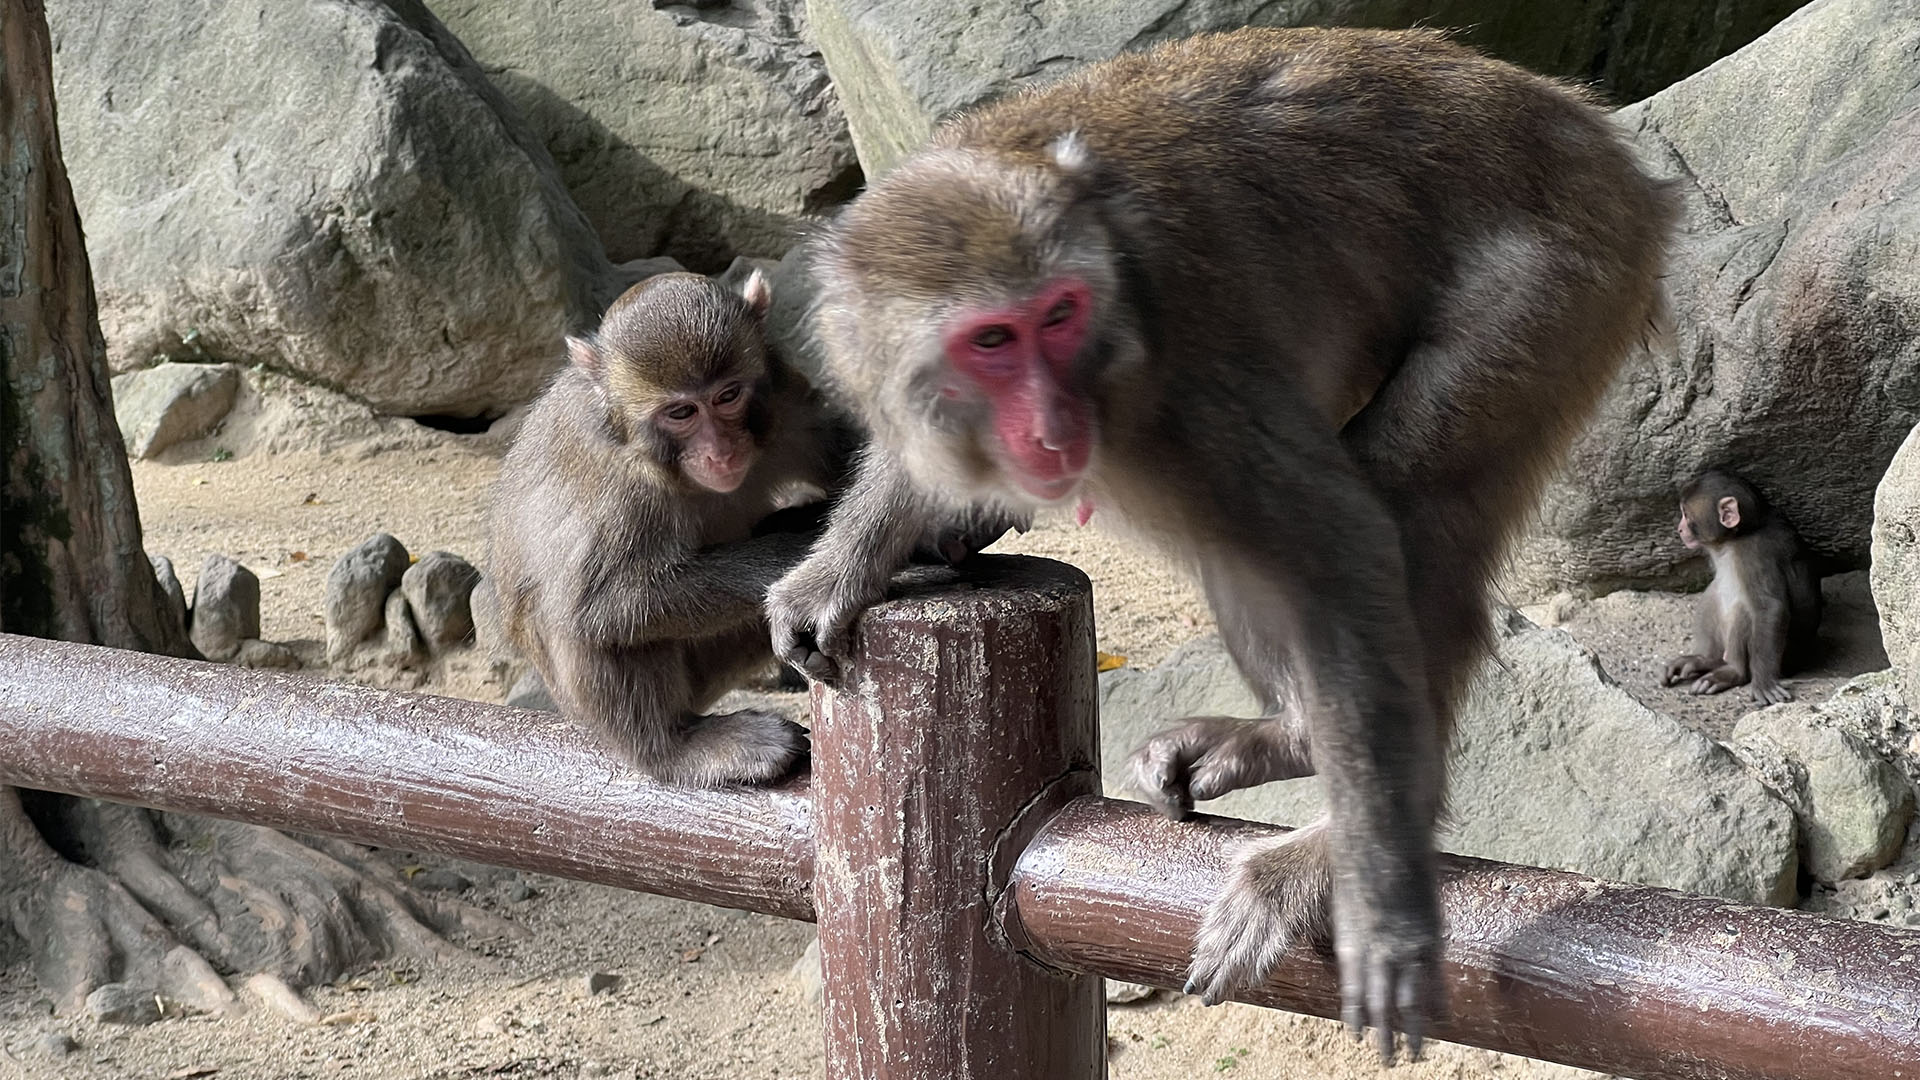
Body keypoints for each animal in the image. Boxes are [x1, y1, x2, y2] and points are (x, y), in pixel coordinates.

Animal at [760, 27, 1676, 1059]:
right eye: (992, 340)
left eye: (1060, 316)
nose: (1055, 424)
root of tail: (1600, 142)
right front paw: (845, 566)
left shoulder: (1188, 382)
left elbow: (1342, 545)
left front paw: (1382, 902)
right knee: (1246, 548)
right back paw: (1291, 736)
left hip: (1559, 283)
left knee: (1397, 497)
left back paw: (1346, 828)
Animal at [1663, 470, 1821, 705]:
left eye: (1686, 514)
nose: (1679, 528)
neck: (1737, 535)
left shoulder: (1754, 553)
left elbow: (1769, 607)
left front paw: (1764, 683)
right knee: (1713, 593)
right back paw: (1706, 660)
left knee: (1743, 609)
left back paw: (1733, 671)